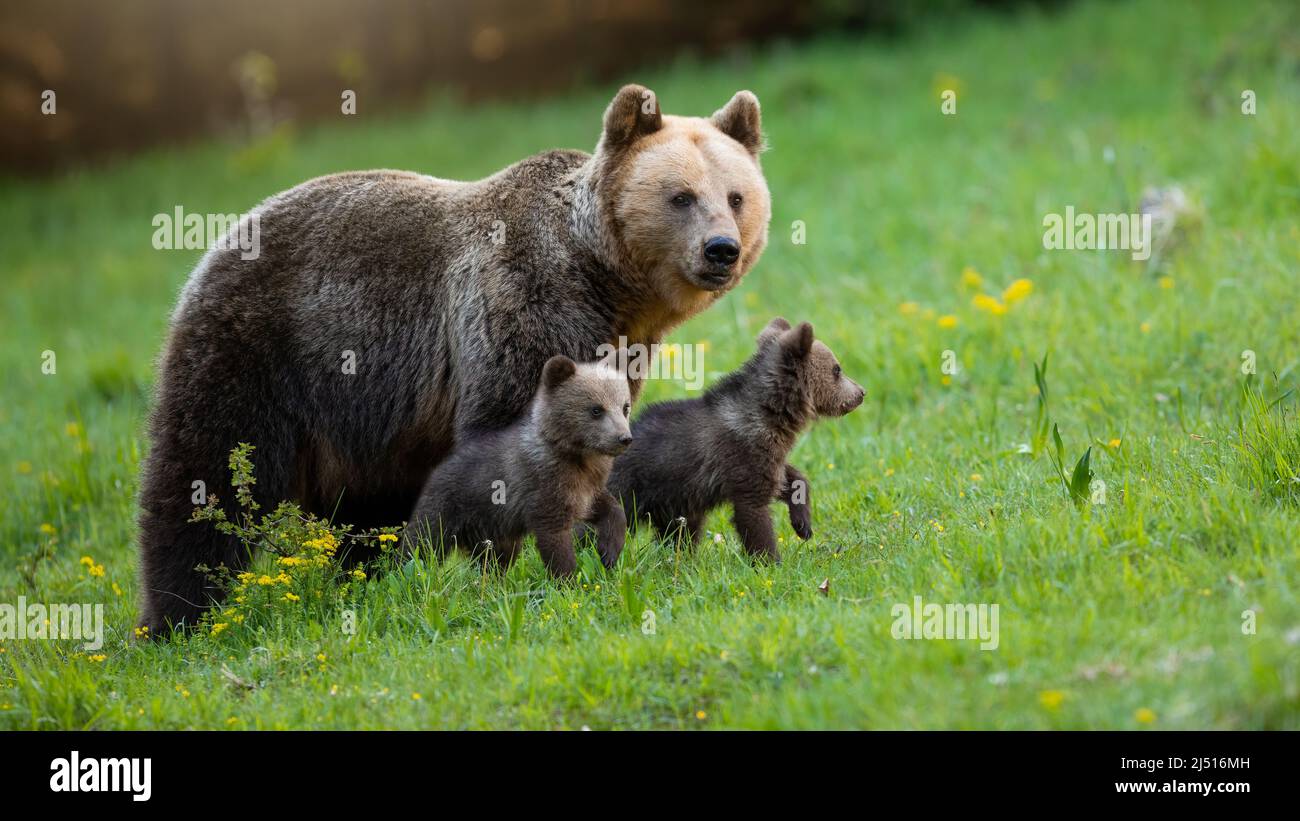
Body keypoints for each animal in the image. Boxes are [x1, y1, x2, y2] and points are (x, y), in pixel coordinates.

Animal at [404, 354, 632, 576]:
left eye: (625, 407)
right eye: (596, 410)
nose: (624, 438)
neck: (578, 457)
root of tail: (437, 469)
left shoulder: (586, 488)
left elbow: (609, 506)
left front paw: (609, 552)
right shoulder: (544, 490)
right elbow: (555, 541)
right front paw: (567, 578)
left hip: (492, 529)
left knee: (495, 558)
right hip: (448, 507)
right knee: (422, 543)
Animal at [606, 318, 864, 561]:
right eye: (837, 369)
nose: (861, 392)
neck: (771, 417)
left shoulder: (768, 455)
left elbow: (789, 478)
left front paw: (803, 524)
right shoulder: (742, 459)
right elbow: (753, 515)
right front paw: (769, 560)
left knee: (680, 534)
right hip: (630, 487)